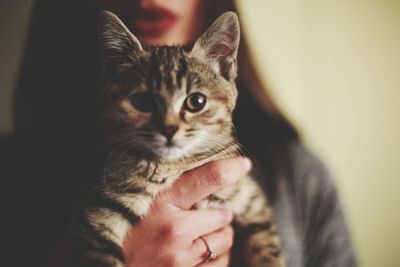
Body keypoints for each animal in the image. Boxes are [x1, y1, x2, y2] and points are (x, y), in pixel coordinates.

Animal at [72, 11, 284, 267]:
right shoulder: (101, 210)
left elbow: (269, 252)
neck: (173, 165)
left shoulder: (252, 201)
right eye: (143, 101)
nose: (169, 129)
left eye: (196, 101)